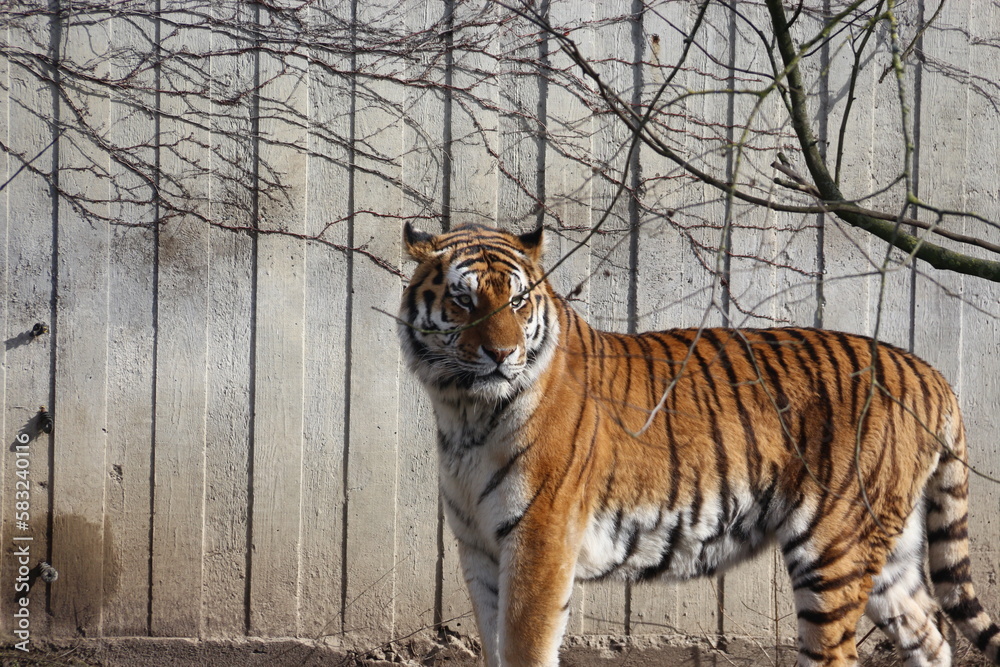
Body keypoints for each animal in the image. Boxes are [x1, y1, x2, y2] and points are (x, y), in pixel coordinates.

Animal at [397, 222, 1000, 667]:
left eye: (519, 300)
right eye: (463, 299)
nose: (502, 355)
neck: (465, 412)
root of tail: (930, 372)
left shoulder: (539, 544)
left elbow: (525, 649)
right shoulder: (480, 550)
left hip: (834, 550)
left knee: (841, 653)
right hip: (887, 551)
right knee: (931, 632)